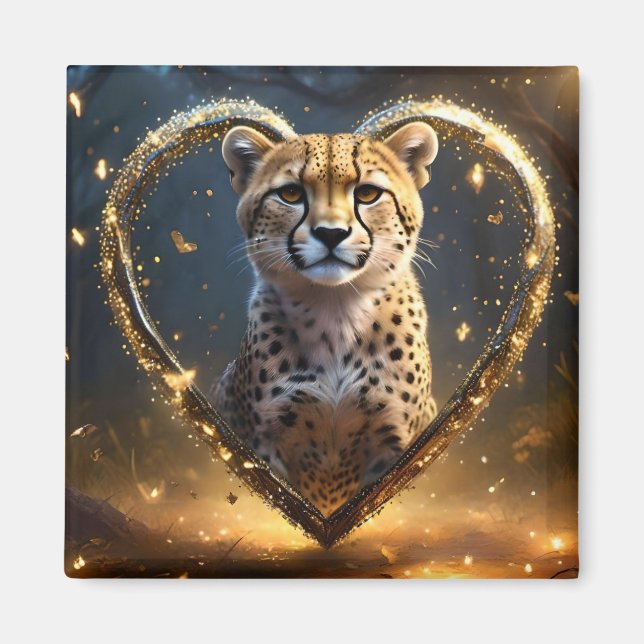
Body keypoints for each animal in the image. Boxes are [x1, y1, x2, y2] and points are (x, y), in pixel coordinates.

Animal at [213, 121, 440, 516]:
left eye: (367, 193)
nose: (331, 233)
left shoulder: (394, 442)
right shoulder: (266, 441)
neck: (336, 312)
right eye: (290, 193)